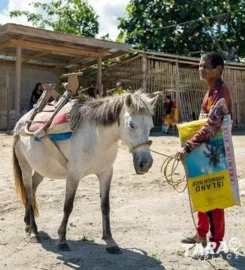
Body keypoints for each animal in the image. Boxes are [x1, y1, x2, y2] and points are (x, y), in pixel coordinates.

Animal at [13, 92, 158, 254]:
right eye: (131, 125)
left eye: (151, 126)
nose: (145, 163)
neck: (96, 139)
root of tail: (20, 123)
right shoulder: (74, 175)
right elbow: (68, 206)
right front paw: (62, 240)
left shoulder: (106, 173)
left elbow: (105, 206)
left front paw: (110, 241)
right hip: (25, 166)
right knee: (29, 193)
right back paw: (34, 232)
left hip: (42, 168)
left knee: (33, 188)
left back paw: (27, 224)